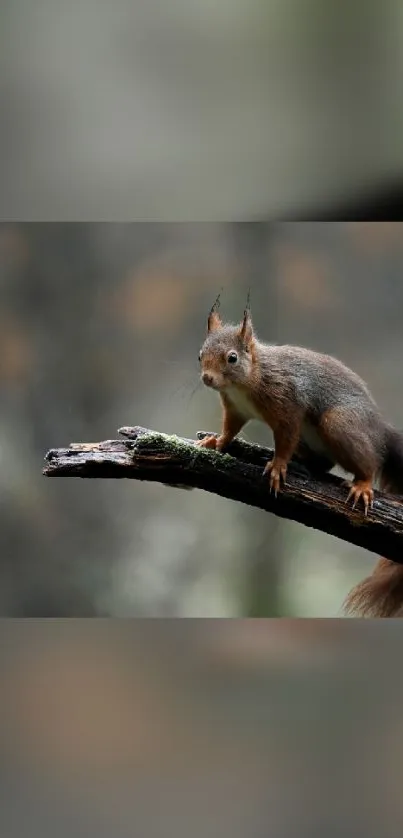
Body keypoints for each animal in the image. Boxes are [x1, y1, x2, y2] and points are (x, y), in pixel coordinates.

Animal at [197, 296, 403, 616]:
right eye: (200, 355)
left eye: (232, 358)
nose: (207, 378)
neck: (249, 379)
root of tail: (380, 430)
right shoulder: (235, 409)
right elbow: (230, 431)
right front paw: (215, 442)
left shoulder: (287, 407)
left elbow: (284, 440)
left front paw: (278, 466)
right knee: (324, 463)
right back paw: (305, 464)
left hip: (339, 424)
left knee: (368, 461)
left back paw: (362, 484)